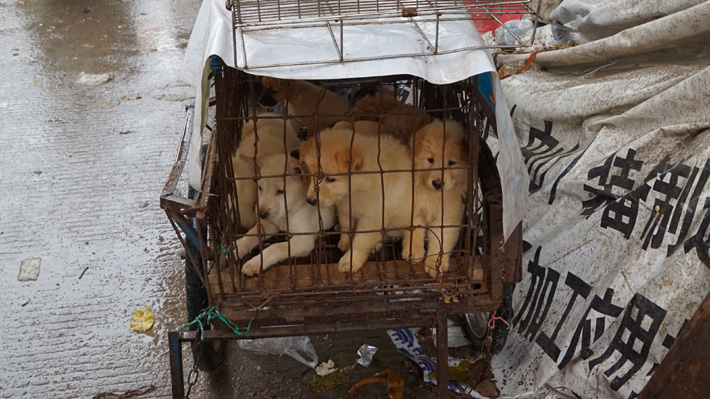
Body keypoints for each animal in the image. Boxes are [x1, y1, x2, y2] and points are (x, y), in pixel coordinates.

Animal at [300, 125, 418, 276]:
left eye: (331, 179)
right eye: (312, 175)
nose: (310, 200)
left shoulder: (372, 219)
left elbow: (360, 242)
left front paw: (350, 261)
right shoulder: (345, 208)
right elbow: (346, 227)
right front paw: (345, 241)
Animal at [408, 119, 470, 278]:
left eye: (451, 163)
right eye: (430, 159)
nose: (437, 183)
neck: (434, 196)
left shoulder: (447, 219)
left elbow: (441, 242)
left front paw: (435, 265)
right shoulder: (415, 207)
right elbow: (414, 230)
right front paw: (413, 252)